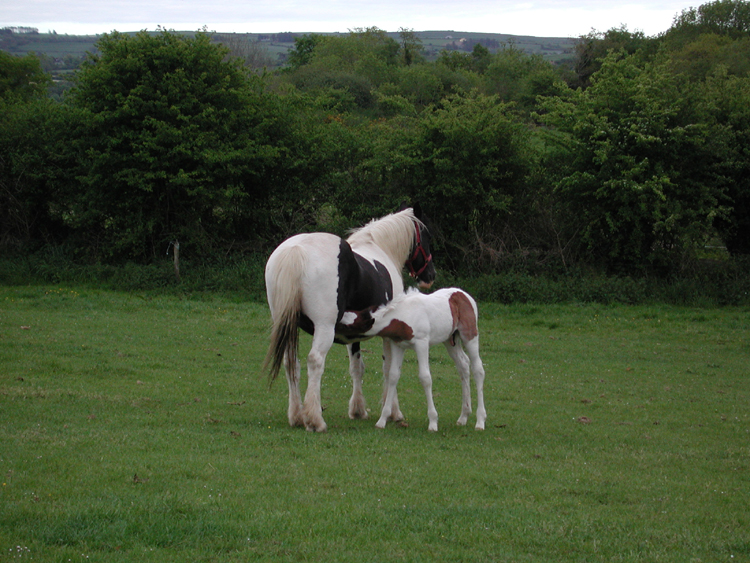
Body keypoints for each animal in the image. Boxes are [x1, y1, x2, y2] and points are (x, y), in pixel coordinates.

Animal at [262, 206, 434, 432]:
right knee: (315, 361)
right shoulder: (389, 333)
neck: (381, 248)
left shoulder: (354, 333)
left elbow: (357, 368)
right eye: (426, 236)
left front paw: (358, 410)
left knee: (292, 364)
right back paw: (315, 420)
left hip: (288, 326)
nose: (430, 276)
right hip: (324, 328)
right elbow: (390, 370)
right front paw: (393, 412)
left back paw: (297, 416)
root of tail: (295, 250)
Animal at [340, 288, 488, 434]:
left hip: (469, 336)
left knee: (478, 370)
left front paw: (433, 422)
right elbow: (393, 376)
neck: (403, 316)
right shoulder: (397, 345)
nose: (337, 338)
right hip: (450, 340)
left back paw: (480, 421)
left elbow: (425, 378)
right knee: (463, 365)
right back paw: (463, 417)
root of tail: (464, 294)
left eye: (348, 327)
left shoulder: (422, 343)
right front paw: (382, 420)